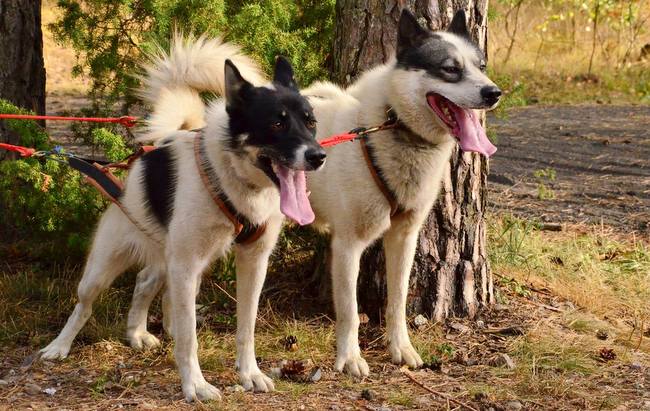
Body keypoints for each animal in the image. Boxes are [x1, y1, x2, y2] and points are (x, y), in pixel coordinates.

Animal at [40, 37, 326, 402]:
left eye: (310, 122)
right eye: (277, 123)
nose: (318, 156)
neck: (232, 177)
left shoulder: (252, 261)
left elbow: (246, 327)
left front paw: (249, 373)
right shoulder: (186, 265)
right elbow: (190, 339)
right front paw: (195, 384)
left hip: (177, 262)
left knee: (145, 282)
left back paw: (137, 332)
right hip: (106, 268)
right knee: (84, 305)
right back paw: (59, 346)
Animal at [113, 7, 501, 394]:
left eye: (481, 65)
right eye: (449, 68)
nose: (493, 92)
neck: (385, 128)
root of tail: (188, 129)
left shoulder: (403, 237)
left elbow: (398, 301)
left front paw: (400, 348)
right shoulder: (347, 246)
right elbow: (349, 312)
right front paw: (350, 359)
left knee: (153, 277)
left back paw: (153, 330)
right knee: (150, 276)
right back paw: (141, 333)